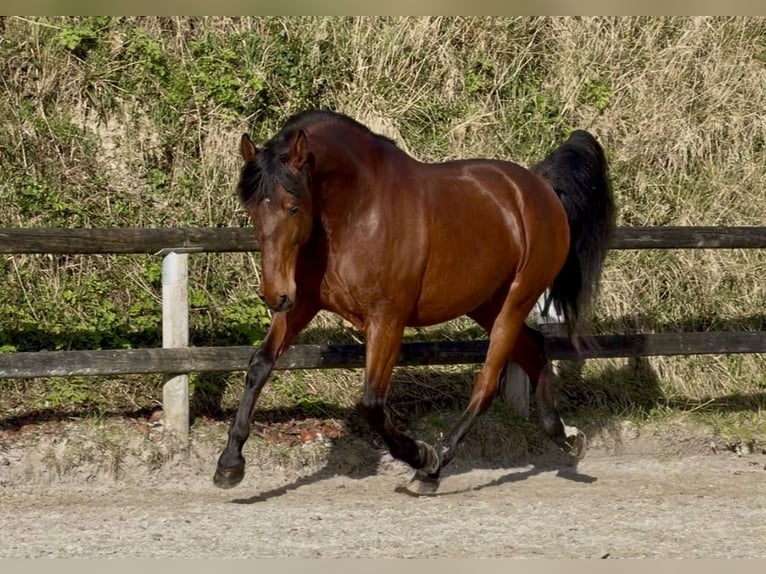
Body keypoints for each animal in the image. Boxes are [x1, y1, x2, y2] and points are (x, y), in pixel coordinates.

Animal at [213, 109, 615, 494]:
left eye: (293, 207)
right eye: (252, 208)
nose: (273, 294)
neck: (357, 210)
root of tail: (539, 186)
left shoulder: (386, 319)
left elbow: (372, 403)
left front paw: (420, 454)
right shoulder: (303, 304)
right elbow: (259, 366)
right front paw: (229, 465)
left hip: (516, 301)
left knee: (486, 384)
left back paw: (433, 469)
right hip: (486, 302)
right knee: (534, 348)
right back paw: (566, 437)